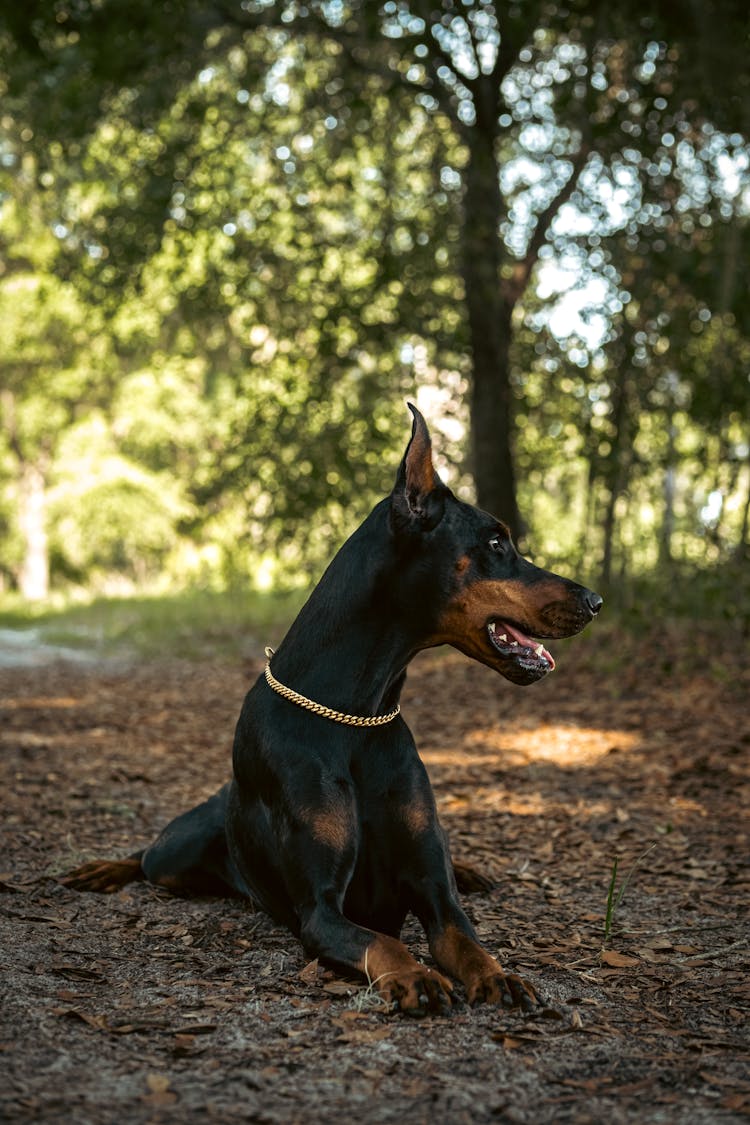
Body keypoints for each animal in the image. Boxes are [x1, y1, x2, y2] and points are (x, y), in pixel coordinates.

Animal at [64, 407, 602, 1021]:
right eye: (495, 541)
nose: (595, 601)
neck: (355, 717)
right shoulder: (320, 910)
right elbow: (382, 941)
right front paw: (416, 977)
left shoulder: (437, 899)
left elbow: (465, 938)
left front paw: (499, 975)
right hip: (177, 855)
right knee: (148, 855)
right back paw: (105, 867)